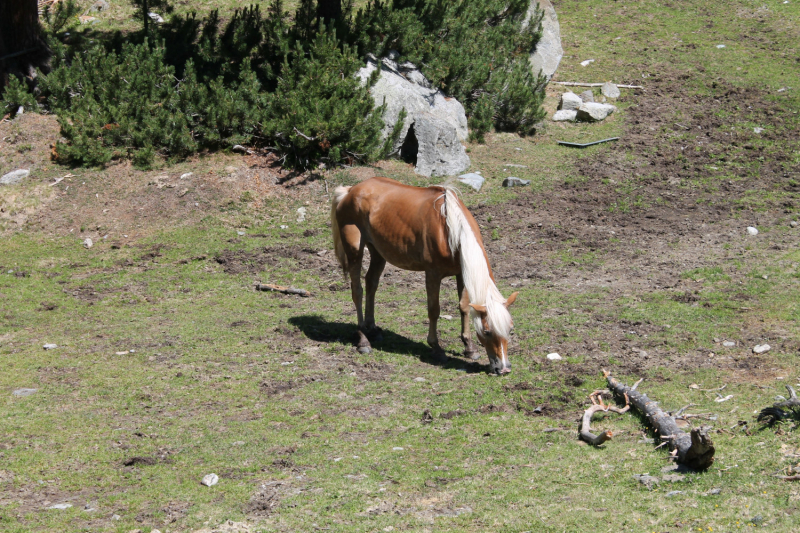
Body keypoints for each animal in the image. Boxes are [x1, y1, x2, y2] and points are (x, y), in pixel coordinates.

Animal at [330, 177, 520, 372]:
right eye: (487, 332)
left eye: (510, 329)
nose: (504, 368)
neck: (449, 228)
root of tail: (350, 190)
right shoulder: (433, 275)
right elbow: (434, 310)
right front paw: (436, 349)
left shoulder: (462, 273)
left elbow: (464, 307)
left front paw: (469, 348)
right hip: (354, 251)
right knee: (357, 291)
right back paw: (363, 339)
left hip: (378, 252)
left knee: (371, 283)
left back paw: (373, 330)